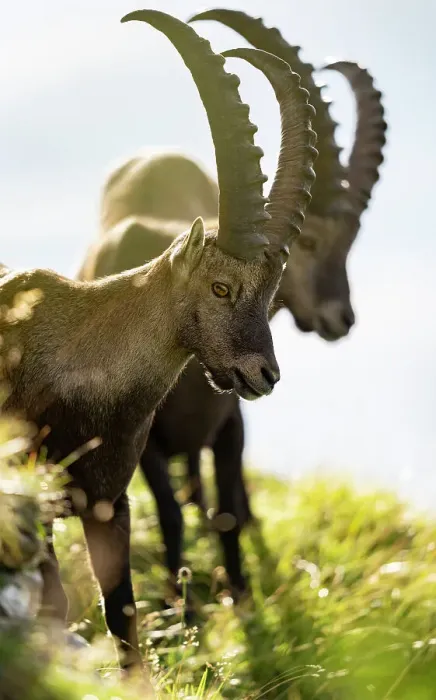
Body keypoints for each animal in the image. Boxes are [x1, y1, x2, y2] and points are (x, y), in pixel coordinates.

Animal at [0, 11, 317, 670]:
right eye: (221, 287)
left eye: (271, 292)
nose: (264, 375)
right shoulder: (30, 490)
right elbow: (54, 601)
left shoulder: (107, 502)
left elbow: (122, 615)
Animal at [79, 11, 387, 599]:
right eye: (312, 242)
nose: (341, 319)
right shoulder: (141, 438)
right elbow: (171, 514)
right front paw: (181, 604)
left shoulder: (230, 425)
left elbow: (227, 514)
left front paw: (240, 596)